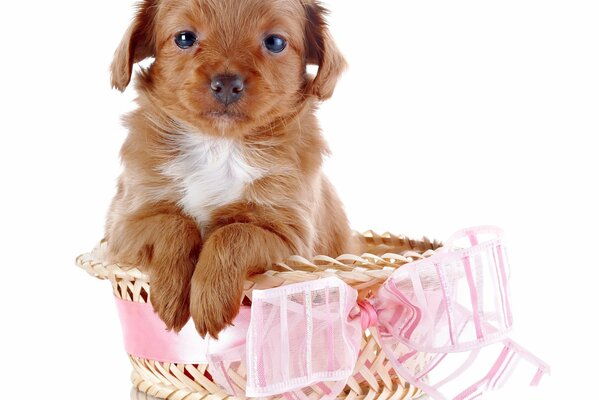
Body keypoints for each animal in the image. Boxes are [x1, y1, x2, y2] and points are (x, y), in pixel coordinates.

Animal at [106, 0, 354, 340]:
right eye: (184, 38)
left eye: (275, 42)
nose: (225, 83)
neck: (218, 146)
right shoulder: (123, 223)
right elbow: (174, 223)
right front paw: (171, 294)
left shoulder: (294, 243)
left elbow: (232, 233)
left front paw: (209, 299)